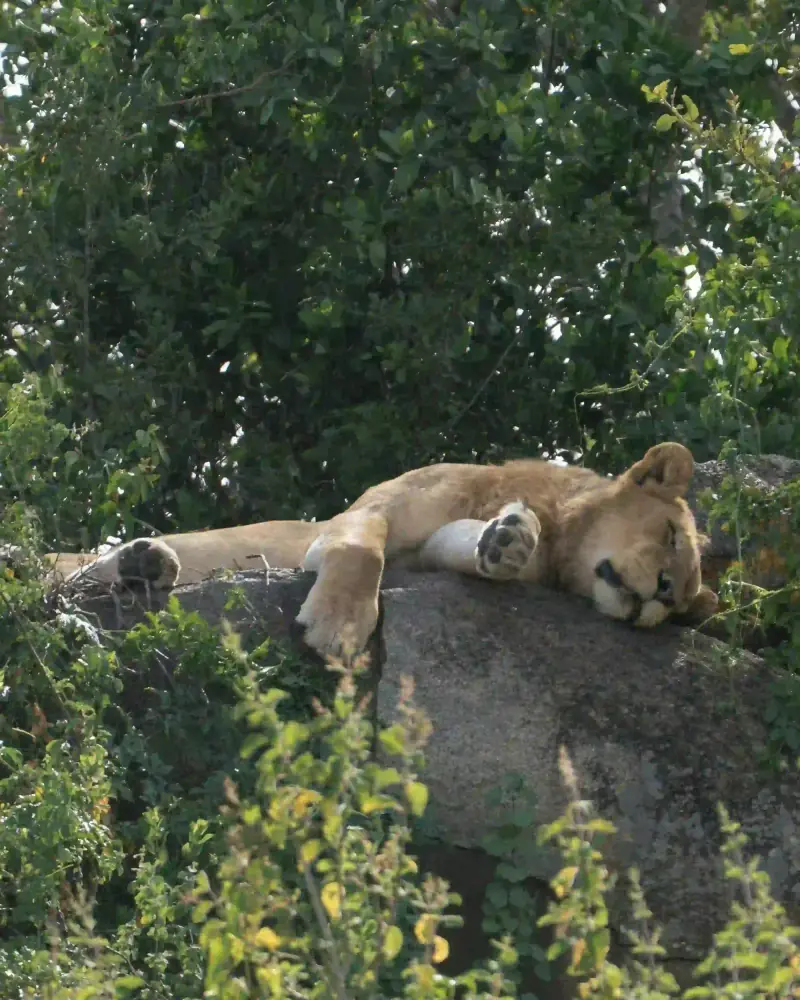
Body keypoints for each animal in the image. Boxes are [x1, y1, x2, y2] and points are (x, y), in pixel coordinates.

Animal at [40, 441, 718, 659]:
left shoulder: (429, 554)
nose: (659, 597)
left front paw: (506, 539)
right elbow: (362, 553)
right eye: (670, 535)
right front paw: (339, 625)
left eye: (684, 603)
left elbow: (468, 546)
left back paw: (147, 564)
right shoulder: (369, 511)